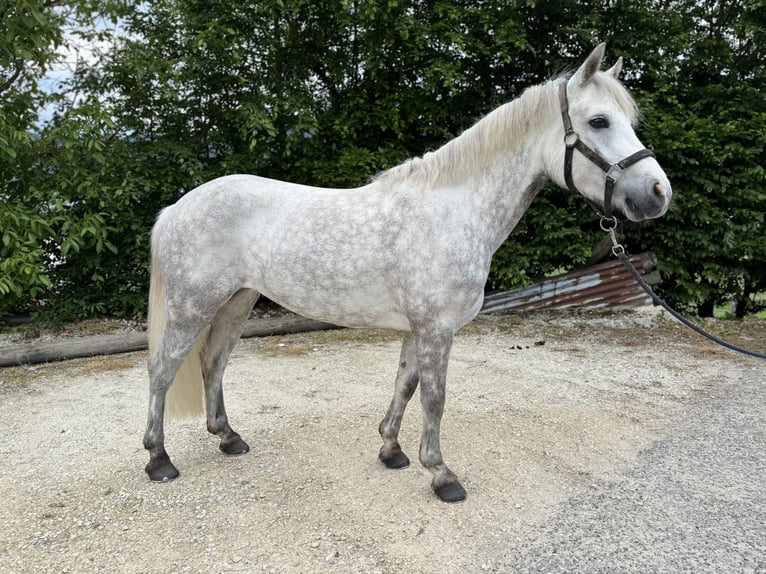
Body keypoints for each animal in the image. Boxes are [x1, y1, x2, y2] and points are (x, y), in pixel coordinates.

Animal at [144, 45, 672, 504]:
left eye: (629, 120)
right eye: (598, 121)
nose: (658, 193)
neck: (453, 211)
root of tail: (174, 209)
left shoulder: (417, 328)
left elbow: (405, 384)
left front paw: (391, 451)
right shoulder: (437, 328)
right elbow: (434, 398)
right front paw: (441, 475)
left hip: (237, 302)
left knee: (213, 363)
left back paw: (228, 438)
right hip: (193, 307)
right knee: (162, 370)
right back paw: (158, 460)